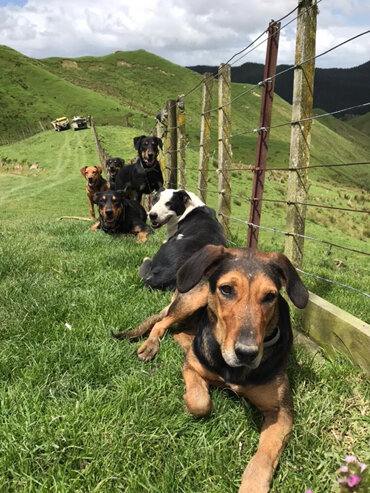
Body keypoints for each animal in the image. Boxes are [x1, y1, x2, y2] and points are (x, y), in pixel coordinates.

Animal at [112, 246, 310, 492]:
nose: (247, 353)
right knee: (163, 323)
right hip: (192, 299)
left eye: (270, 297)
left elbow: (265, 455)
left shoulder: (281, 411)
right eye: (226, 289)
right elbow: (200, 401)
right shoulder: (191, 368)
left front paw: (253, 485)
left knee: (179, 332)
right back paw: (151, 346)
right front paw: (191, 404)